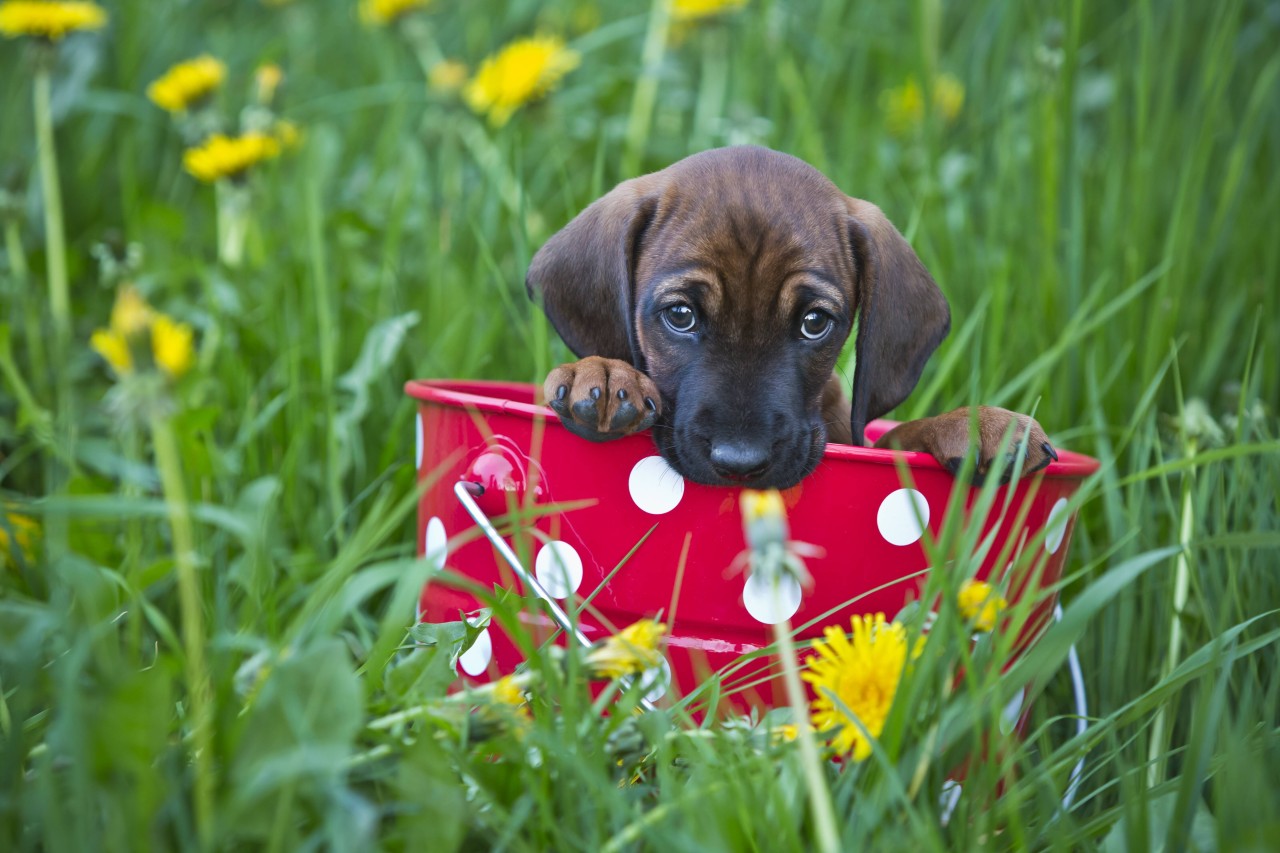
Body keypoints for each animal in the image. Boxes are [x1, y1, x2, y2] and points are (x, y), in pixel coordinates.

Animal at [524, 149, 1054, 489]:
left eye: (815, 322)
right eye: (680, 315)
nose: (740, 465)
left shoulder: (858, 438)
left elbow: (900, 435)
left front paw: (976, 421)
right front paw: (603, 372)